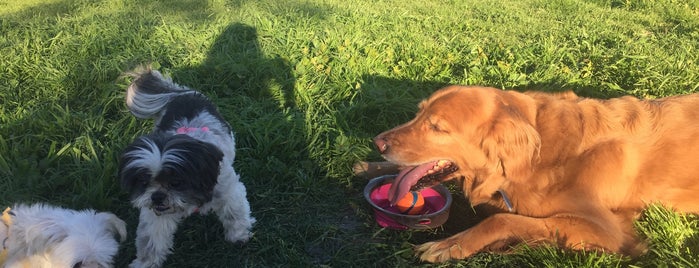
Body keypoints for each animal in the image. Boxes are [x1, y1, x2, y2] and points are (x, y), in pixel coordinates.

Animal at [119, 67, 256, 268]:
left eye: (176, 182)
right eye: (144, 182)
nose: (157, 196)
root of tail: (181, 93)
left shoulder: (228, 189)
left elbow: (235, 212)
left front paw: (239, 235)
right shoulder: (156, 214)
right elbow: (151, 239)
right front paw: (145, 263)